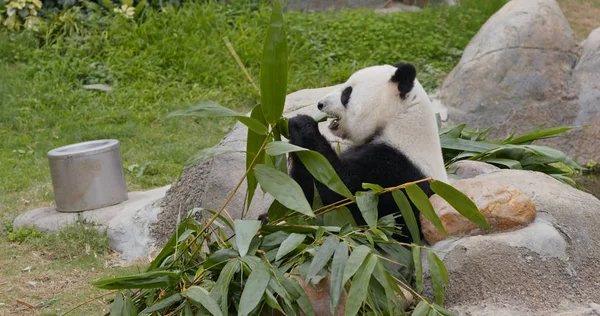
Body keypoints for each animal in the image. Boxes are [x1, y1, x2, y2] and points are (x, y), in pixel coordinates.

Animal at [284, 63, 448, 243]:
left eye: (347, 93)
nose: (320, 104)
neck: (400, 120)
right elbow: (304, 195)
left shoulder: (394, 175)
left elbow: (339, 192)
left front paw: (301, 124)